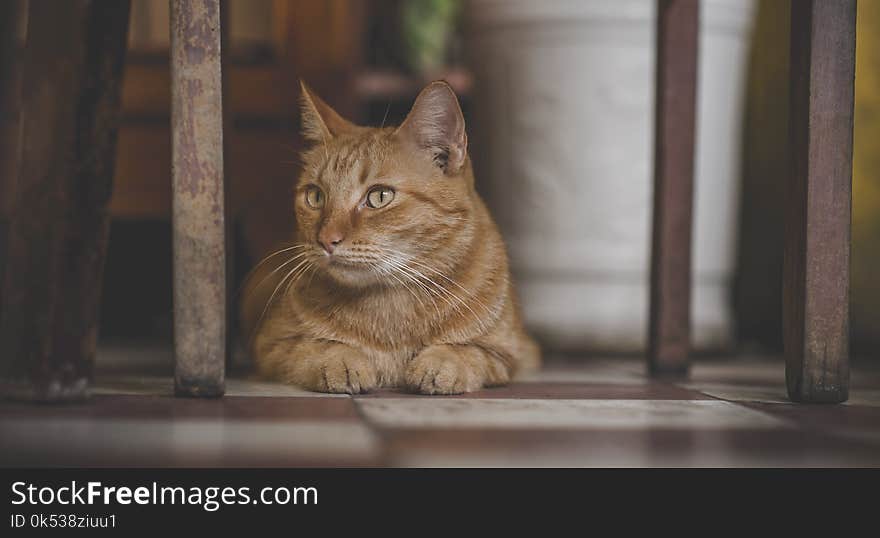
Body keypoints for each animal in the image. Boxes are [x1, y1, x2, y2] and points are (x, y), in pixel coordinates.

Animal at [242, 79, 544, 392]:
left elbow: (467, 352)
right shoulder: (270, 346)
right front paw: (341, 362)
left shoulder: (509, 353)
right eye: (315, 196)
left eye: (379, 196)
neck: (390, 304)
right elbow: (315, 348)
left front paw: (441, 365)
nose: (326, 240)